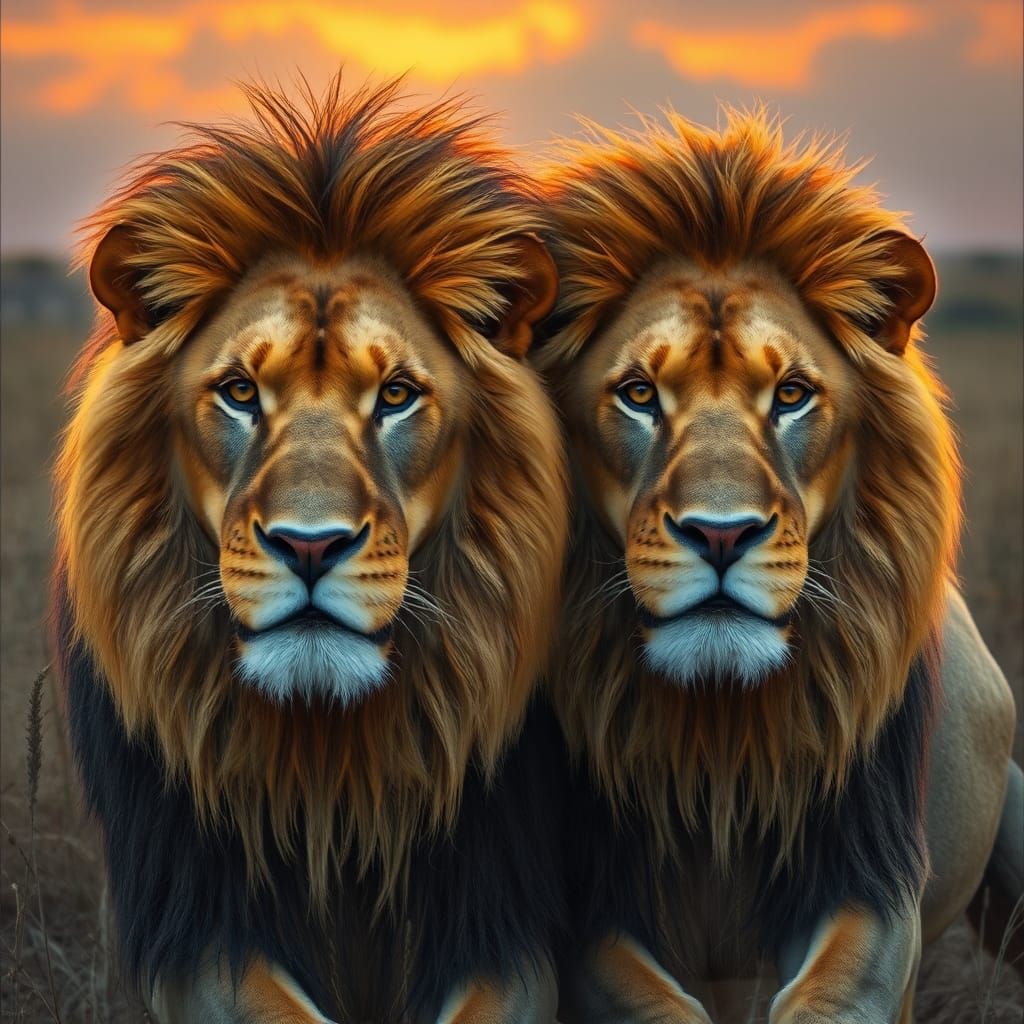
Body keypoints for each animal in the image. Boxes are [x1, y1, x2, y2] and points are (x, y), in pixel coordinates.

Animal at [52, 78, 569, 1023]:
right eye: (239, 391)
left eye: (396, 395)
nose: (310, 546)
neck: (328, 761)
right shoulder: (201, 919)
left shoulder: (504, 914)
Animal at [535, 109, 1020, 1023]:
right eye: (639, 394)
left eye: (792, 394)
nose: (722, 535)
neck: (723, 731)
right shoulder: (586, 906)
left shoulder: (871, 884)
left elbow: (831, 998)